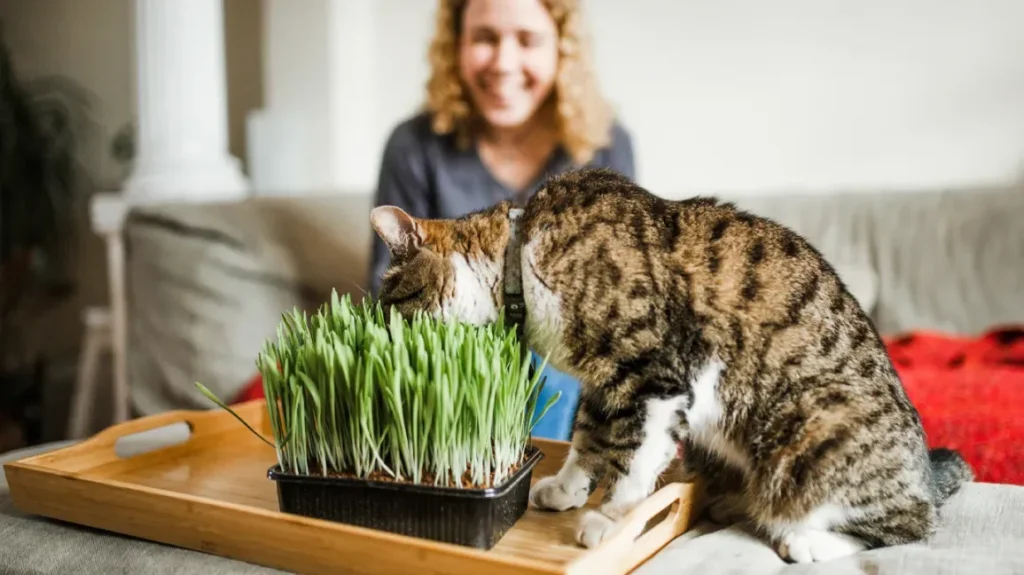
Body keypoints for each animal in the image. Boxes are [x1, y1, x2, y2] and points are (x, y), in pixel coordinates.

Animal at [366, 165, 966, 560]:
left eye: (393, 305)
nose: (387, 336)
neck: (522, 254)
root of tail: (923, 473)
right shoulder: (604, 383)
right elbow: (589, 438)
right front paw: (567, 489)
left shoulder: (656, 372)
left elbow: (635, 456)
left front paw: (611, 521)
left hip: (813, 428)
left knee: (907, 526)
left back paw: (804, 539)